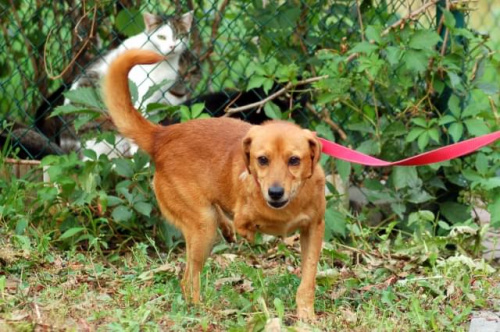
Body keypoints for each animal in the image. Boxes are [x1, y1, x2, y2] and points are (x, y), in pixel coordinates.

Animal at [103, 50, 326, 320]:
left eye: (294, 160)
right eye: (262, 159)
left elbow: (308, 278)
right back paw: (201, 310)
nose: (274, 193)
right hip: (203, 228)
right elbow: (246, 225)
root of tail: (162, 136)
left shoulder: (314, 229)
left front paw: (306, 315)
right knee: (188, 279)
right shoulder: (247, 216)